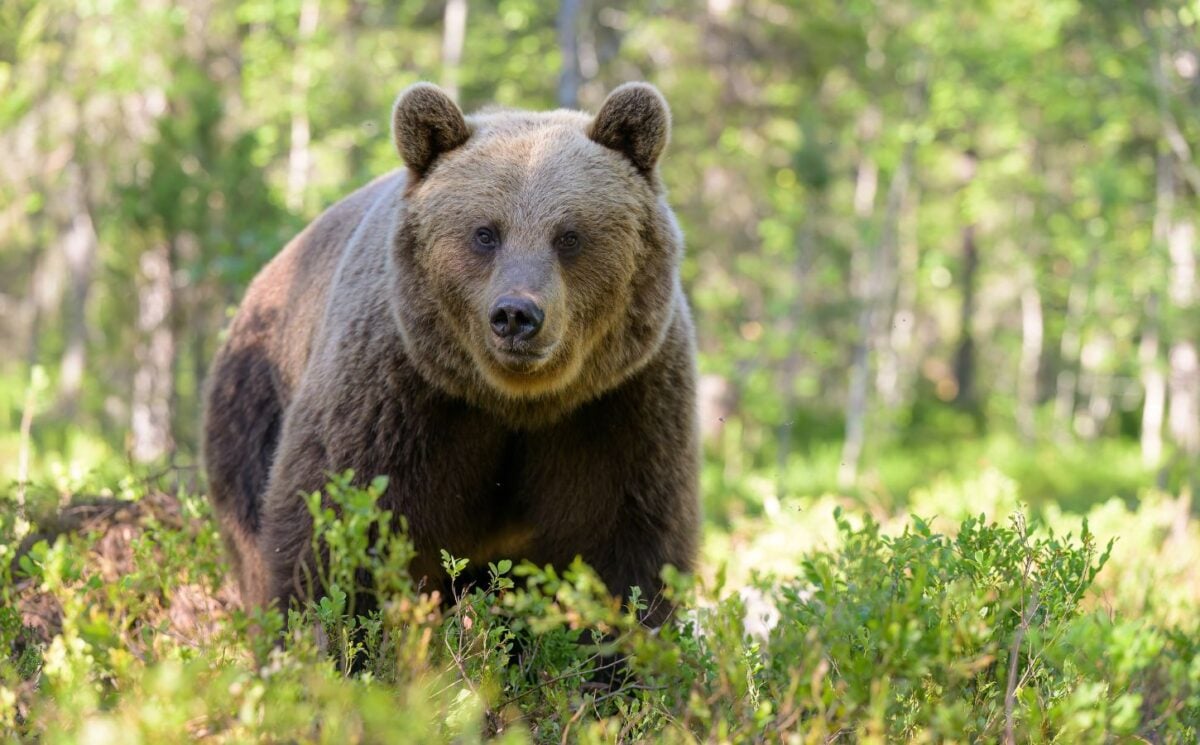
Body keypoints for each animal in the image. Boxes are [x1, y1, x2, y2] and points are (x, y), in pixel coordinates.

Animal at [201, 81, 700, 623]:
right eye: (485, 233)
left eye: (569, 235)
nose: (516, 315)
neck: (517, 401)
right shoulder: (395, 393)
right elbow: (335, 532)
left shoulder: (620, 405)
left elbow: (626, 547)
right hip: (253, 406)